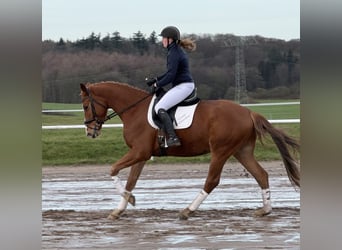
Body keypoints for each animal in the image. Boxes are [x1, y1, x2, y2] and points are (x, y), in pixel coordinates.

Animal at [80, 81, 300, 220]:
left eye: (85, 106)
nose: (90, 132)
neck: (134, 110)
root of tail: (248, 112)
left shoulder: (140, 152)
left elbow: (113, 170)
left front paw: (129, 201)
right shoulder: (140, 155)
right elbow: (131, 182)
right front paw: (120, 209)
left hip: (221, 151)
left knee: (212, 180)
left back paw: (187, 210)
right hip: (241, 151)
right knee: (261, 174)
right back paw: (265, 210)